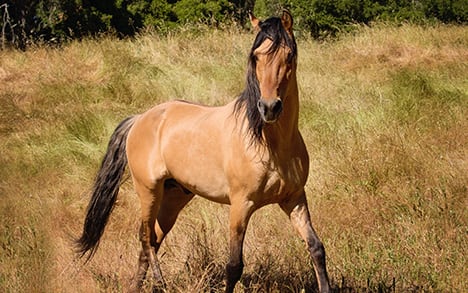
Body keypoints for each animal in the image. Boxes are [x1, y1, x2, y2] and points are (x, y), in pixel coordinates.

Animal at [77, 10, 330, 292]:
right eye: (256, 56)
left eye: (288, 55)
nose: (269, 107)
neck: (271, 145)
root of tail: (140, 119)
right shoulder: (241, 205)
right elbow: (234, 266)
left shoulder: (294, 199)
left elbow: (316, 248)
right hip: (148, 190)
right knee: (146, 239)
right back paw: (161, 282)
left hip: (174, 197)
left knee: (151, 240)